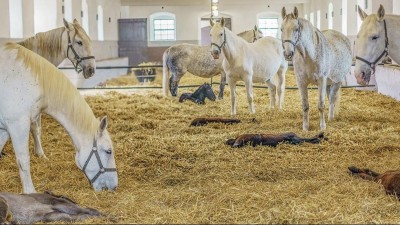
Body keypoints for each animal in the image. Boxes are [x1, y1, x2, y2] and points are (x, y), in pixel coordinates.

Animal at [0, 42, 117, 193]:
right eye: (108, 151)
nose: (114, 186)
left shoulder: (5, 129)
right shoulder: (18, 125)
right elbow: (23, 160)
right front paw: (30, 192)